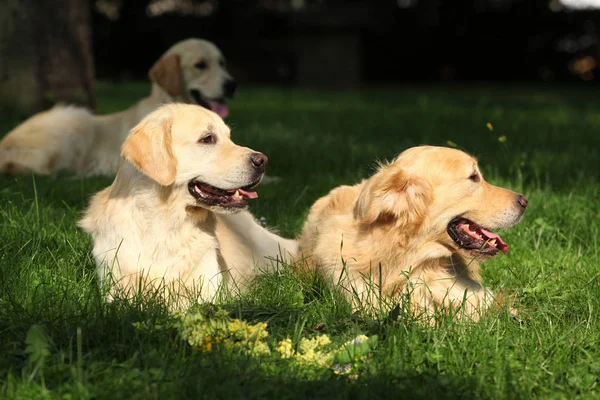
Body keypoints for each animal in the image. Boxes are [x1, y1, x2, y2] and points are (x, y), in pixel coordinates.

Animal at [77, 103, 298, 306]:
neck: (165, 225)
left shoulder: (208, 290)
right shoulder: (115, 287)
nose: (263, 161)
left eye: (229, 137)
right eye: (207, 138)